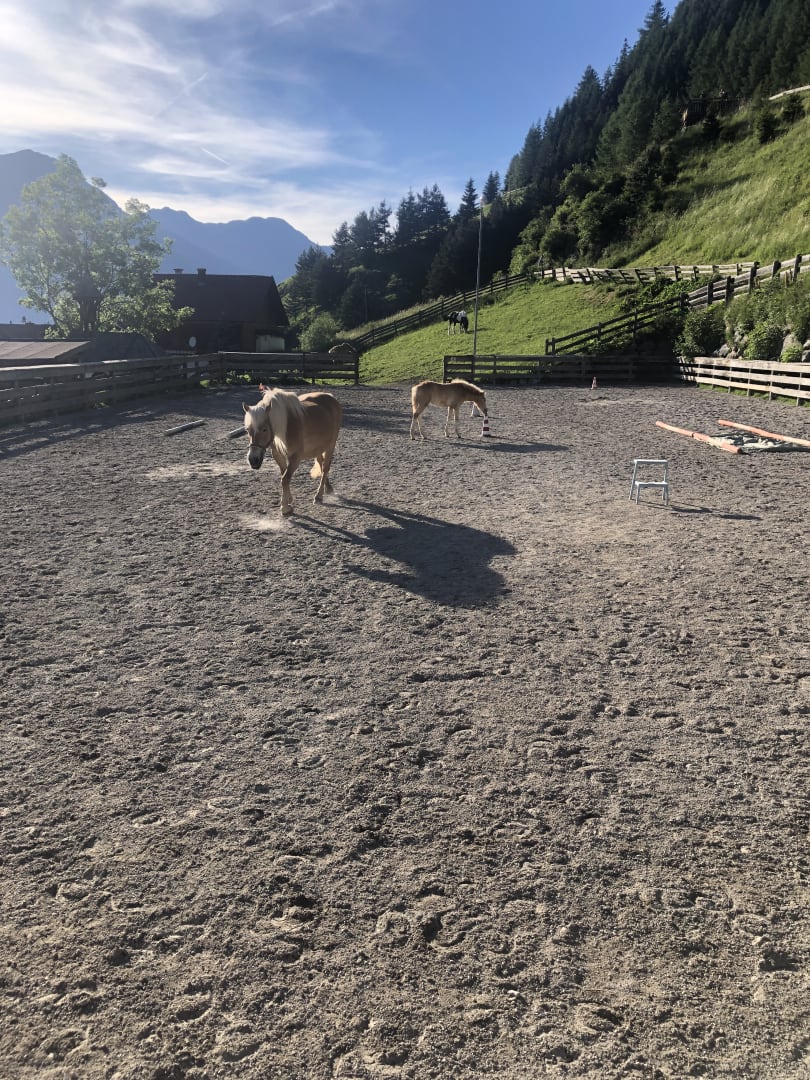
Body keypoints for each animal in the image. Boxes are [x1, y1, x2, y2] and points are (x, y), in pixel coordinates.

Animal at [242, 386, 342, 516]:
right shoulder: (278, 455)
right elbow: (284, 475)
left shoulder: (295, 457)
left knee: (325, 468)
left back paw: (318, 496)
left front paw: (285, 507)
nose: (253, 460)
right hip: (318, 447)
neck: (286, 426)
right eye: (247, 429)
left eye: (264, 429)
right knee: (321, 463)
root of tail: (330, 397)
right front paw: (289, 500)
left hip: (330, 445)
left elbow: (285, 479)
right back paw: (328, 488)